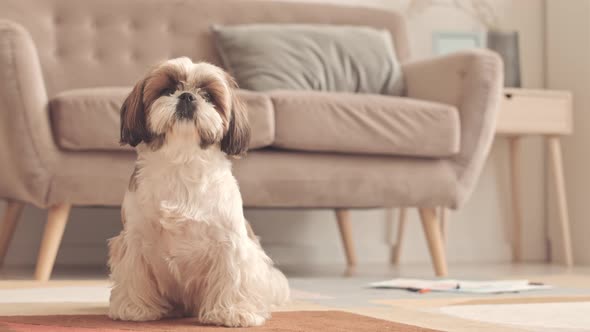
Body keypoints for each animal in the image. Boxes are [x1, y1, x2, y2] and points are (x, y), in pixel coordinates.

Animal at [108, 57, 292, 326]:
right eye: (168, 90)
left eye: (207, 95)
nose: (186, 96)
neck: (183, 161)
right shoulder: (135, 238)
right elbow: (134, 271)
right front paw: (135, 308)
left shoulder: (230, 243)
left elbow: (233, 275)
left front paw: (232, 312)